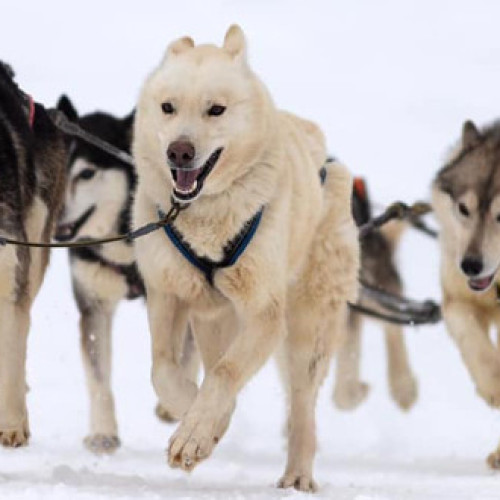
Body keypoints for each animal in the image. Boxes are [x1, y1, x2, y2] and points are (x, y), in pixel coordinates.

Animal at [133, 25, 360, 490]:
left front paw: (194, 434)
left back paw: (297, 476)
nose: (179, 151)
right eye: (167, 107)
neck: (204, 217)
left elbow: (224, 373)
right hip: (212, 318)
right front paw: (198, 423)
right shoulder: (167, 294)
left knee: (302, 408)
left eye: (216, 110)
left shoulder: (264, 314)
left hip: (306, 329)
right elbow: (164, 370)